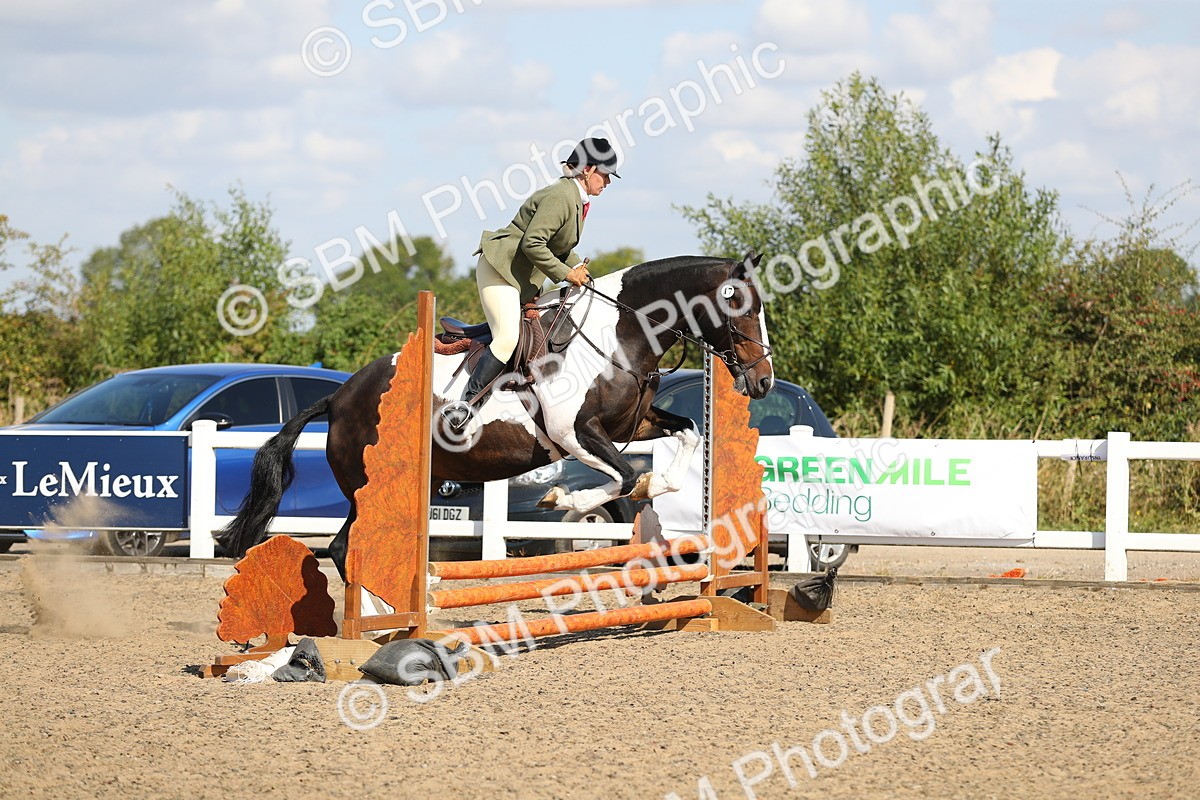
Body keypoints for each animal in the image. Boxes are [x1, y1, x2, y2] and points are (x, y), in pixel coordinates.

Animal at [217, 252, 774, 579]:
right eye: (743, 307)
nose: (763, 381)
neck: (622, 332)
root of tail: (339, 397)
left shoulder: (631, 426)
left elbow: (686, 436)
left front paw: (658, 488)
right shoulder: (574, 433)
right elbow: (622, 475)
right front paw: (564, 498)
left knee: (345, 547)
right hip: (367, 484)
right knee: (342, 549)